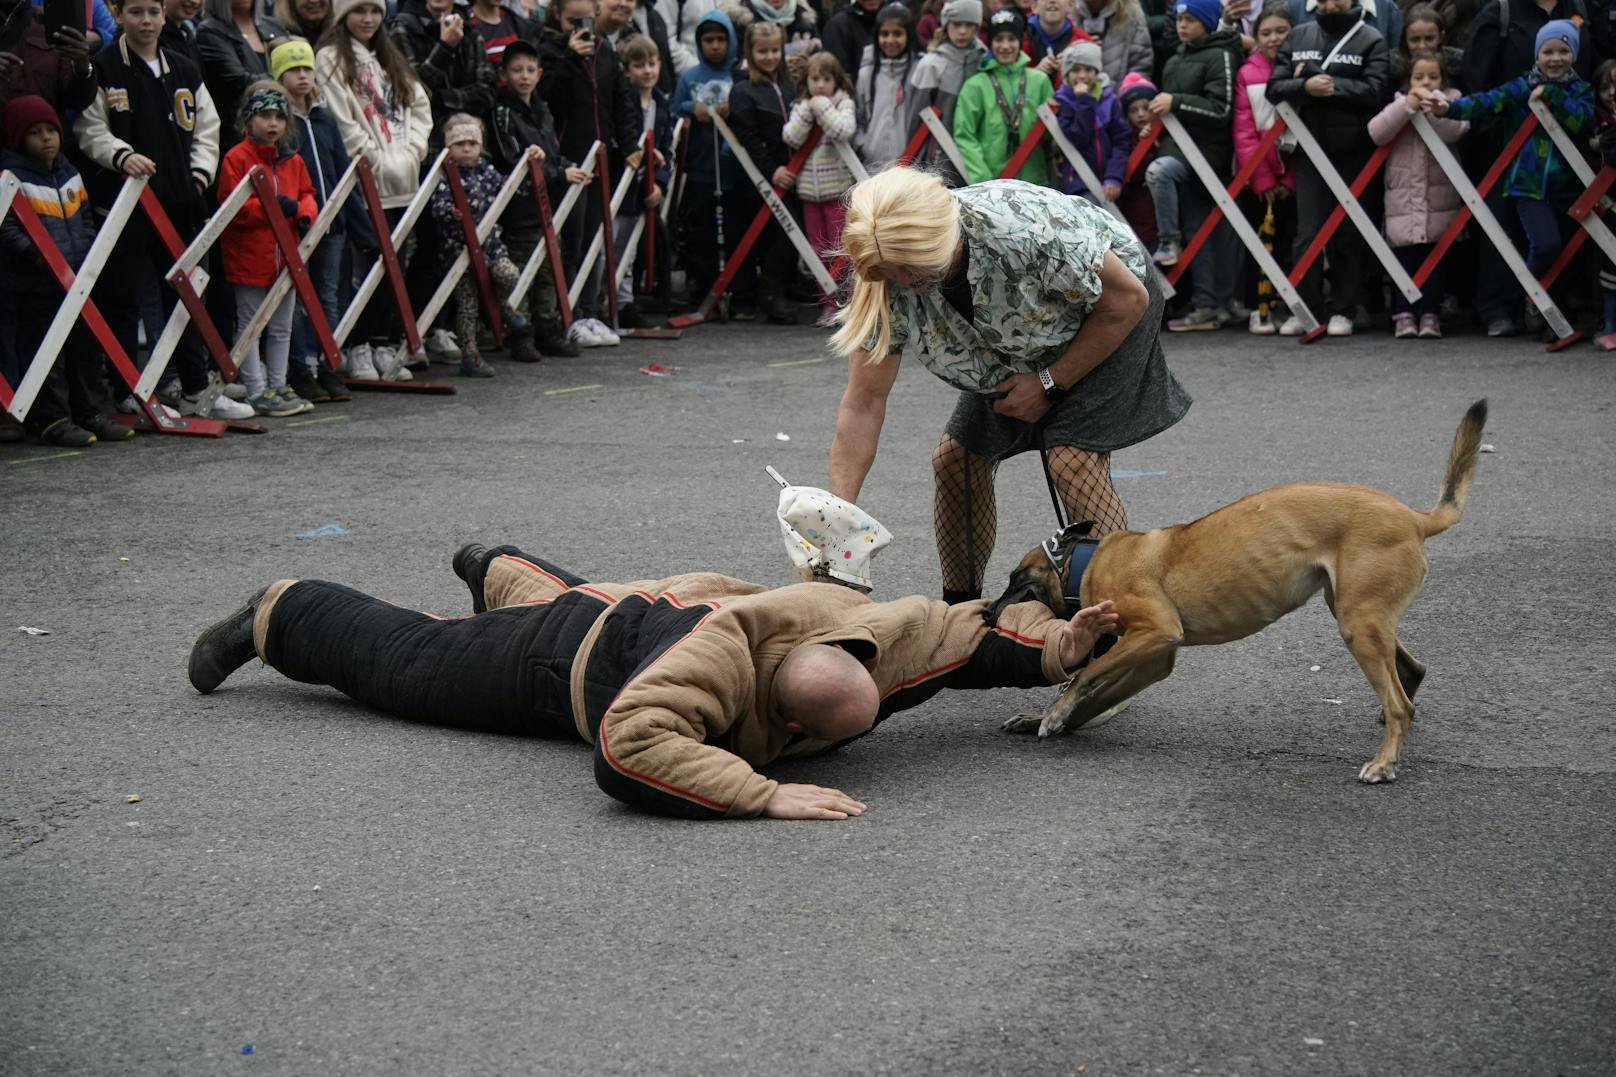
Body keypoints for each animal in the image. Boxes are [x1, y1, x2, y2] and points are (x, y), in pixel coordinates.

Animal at [976, 397, 1480, 776]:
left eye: (1016, 581)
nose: (984, 613)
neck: (1087, 562)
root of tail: (1415, 518)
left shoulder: (1156, 633)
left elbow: (1085, 674)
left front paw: (1055, 713)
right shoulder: (1151, 660)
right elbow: (1093, 691)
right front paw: (1048, 719)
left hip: (1358, 624)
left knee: (1400, 704)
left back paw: (1384, 760)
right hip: (1356, 613)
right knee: (1411, 673)